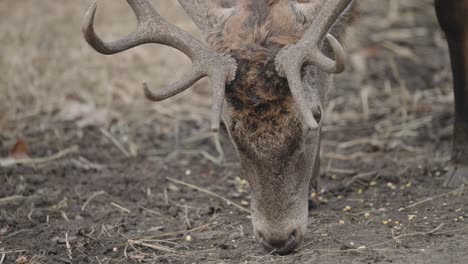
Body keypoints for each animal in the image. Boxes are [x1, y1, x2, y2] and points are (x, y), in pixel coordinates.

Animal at [84, 0, 468, 256]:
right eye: (224, 127)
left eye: (315, 116)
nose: (279, 239)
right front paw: (312, 189)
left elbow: (454, 21)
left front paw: (459, 165)